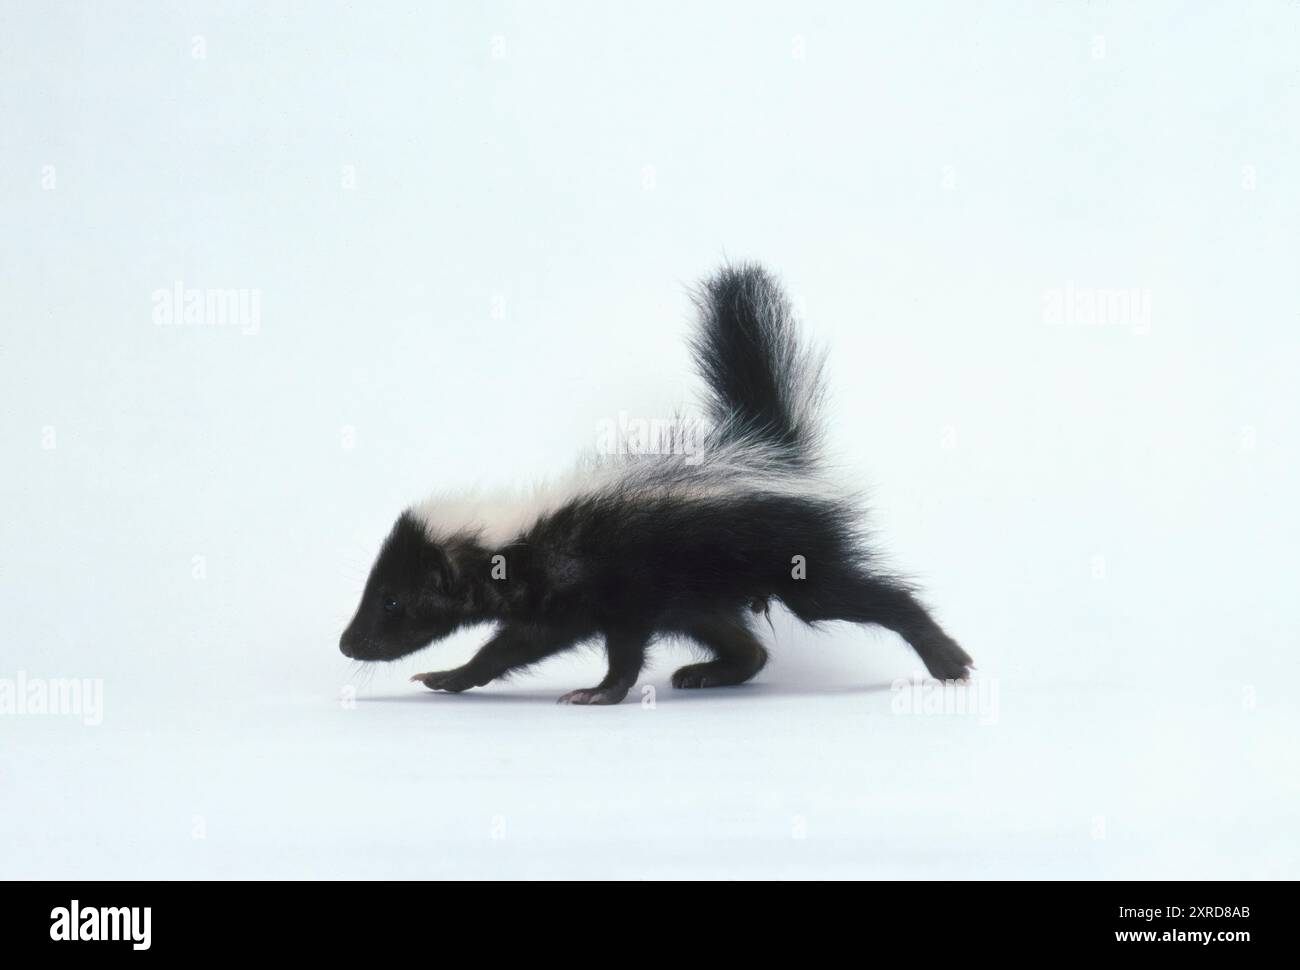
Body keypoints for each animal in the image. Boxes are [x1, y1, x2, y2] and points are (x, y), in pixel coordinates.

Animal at [340, 263, 972, 702]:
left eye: (392, 601)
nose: (348, 644)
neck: (525, 537)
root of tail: (772, 453)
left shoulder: (615, 584)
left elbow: (607, 647)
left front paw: (597, 692)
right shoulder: (566, 601)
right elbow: (517, 643)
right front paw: (451, 676)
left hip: (796, 559)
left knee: (860, 597)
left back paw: (948, 660)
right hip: (699, 593)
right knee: (744, 643)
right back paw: (707, 674)